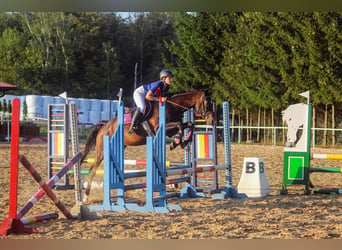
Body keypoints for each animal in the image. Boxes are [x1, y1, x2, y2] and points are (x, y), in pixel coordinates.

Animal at [81, 90, 214, 203]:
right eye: (207, 104)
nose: (212, 121)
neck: (173, 107)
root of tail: (103, 126)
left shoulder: (171, 130)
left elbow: (189, 124)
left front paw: (183, 142)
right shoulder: (160, 128)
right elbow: (180, 125)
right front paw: (176, 143)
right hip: (102, 152)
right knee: (92, 170)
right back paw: (85, 197)